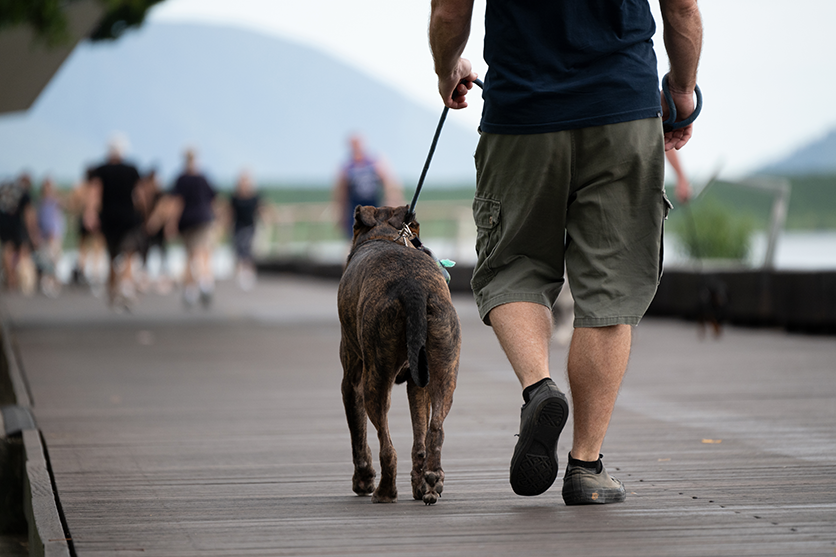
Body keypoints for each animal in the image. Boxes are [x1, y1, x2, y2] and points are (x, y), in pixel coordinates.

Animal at [336, 204, 460, 504]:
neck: (384, 234)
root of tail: (413, 287)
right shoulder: (418, 384)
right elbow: (419, 436)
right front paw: (419, 485)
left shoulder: (351, 382)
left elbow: (358, 434)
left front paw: (363, 479)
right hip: (444, 372)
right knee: (434, 432)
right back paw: (431, 481)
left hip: (375, 380)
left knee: (386, 445)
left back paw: (384, 492)